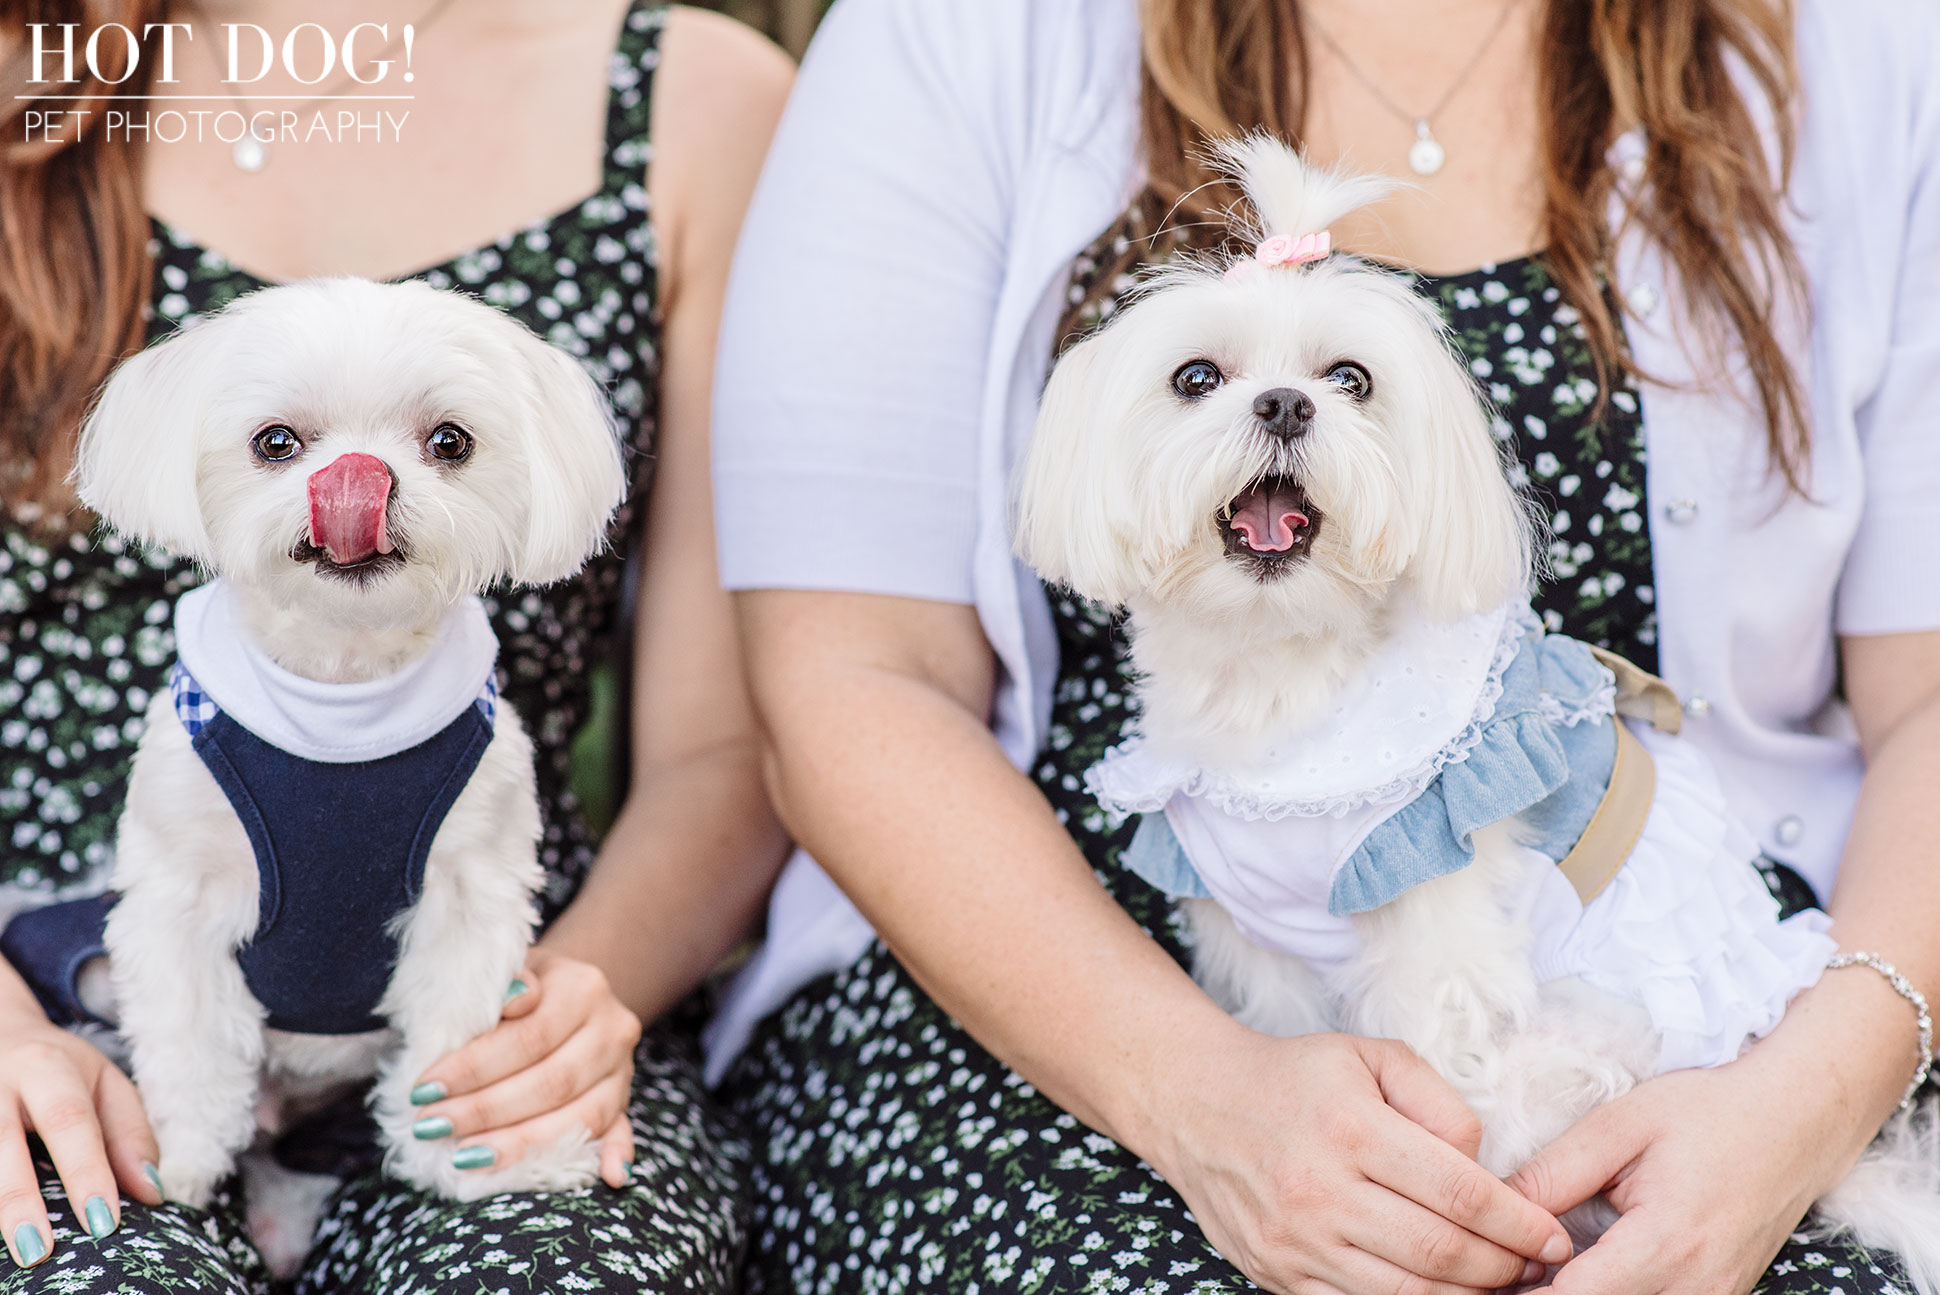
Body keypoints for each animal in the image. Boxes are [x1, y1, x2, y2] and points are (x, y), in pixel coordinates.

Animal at [37, 279, 624, 1232]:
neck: (341, 701)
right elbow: (189, 1040)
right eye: (276, 442)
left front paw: (466, 1164)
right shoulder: (176, 901)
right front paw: (179, 1161)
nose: (355, 478)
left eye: (449, 442)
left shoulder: (469, 897)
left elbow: (451, 1042)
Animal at [1008, 136, 1940, 1279]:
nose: (1284, 405)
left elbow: (1436, 1033)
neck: (1280, 689)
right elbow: (1288, 1025)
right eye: (1195, 378)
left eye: (1350, 379)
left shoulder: (1433, 921)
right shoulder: (1255, 942)